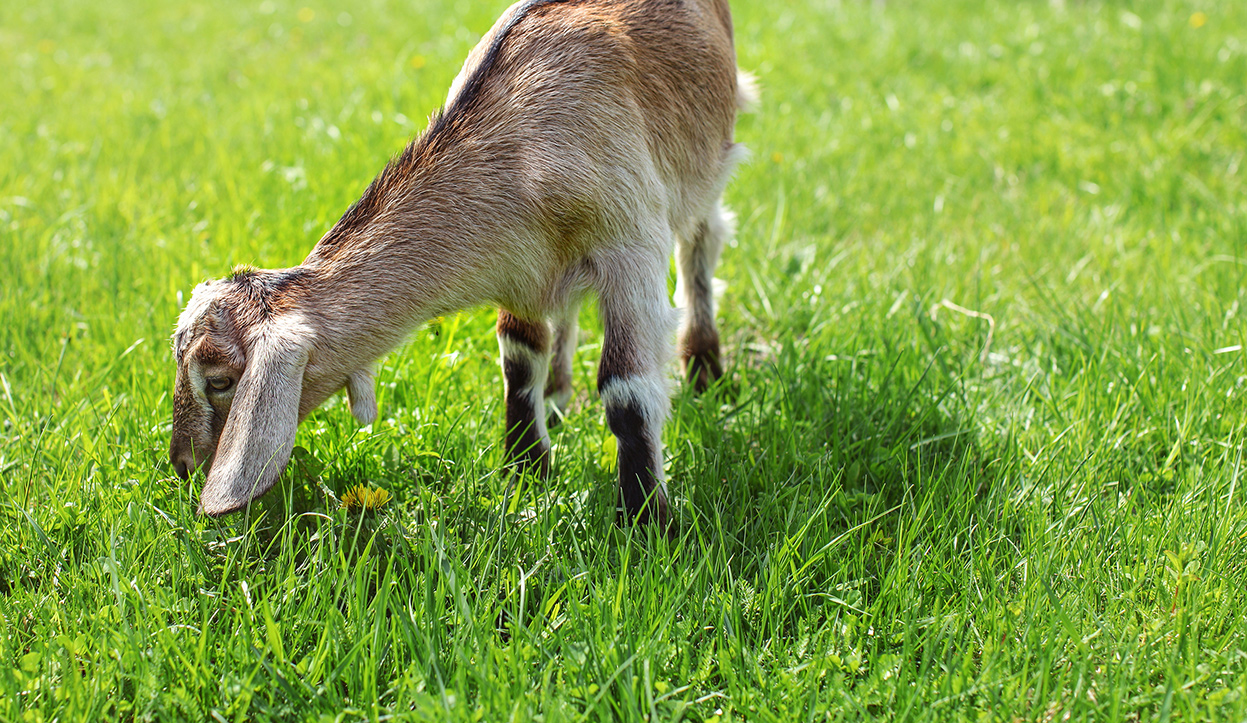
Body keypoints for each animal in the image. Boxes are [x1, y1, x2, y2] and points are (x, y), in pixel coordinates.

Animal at [164, 0, 748, 526]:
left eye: (220, 380)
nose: (183, 465)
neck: (521, 150)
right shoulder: (521, 269)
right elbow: (519, 359)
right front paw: (527, 469)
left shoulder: (632, 245)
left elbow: (625, 387)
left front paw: (647, 522)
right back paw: (558, 397)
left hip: (709, 162)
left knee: (701, 246)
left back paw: (705, 369)